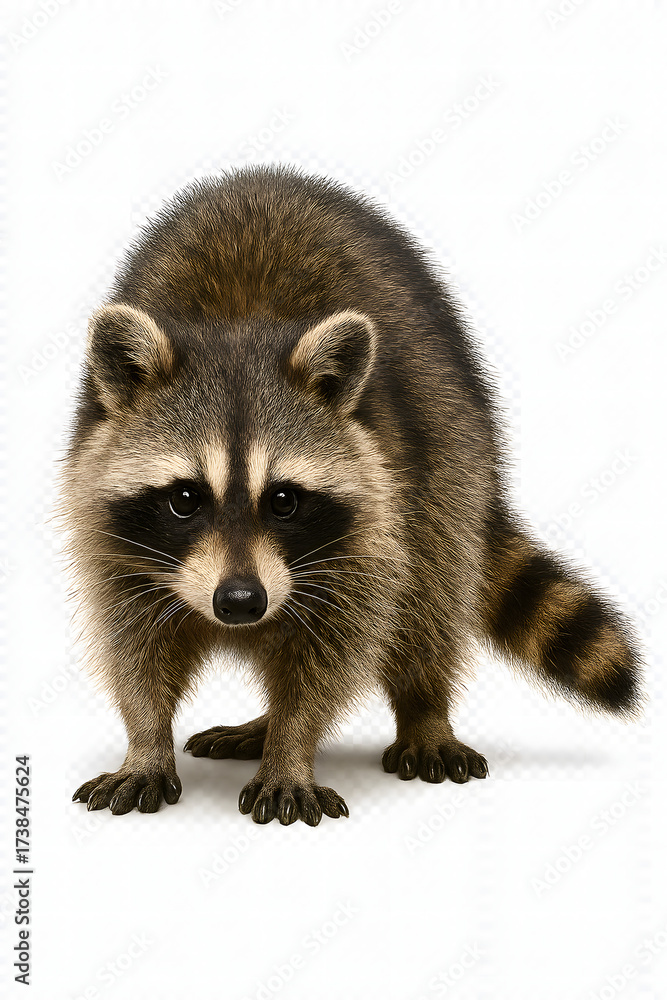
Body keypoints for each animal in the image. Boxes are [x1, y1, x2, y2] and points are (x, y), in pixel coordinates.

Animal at [63, 165, 641, 826]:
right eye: (185, 498)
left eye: (284, 500)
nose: (241, 601)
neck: (238, 327)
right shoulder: (110, 529)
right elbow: (134, 643)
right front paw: (147, 740)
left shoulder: (374, 523)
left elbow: (333, 652)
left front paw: (292, 746)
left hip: (452, 450)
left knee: (433, 592)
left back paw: (422, 710)